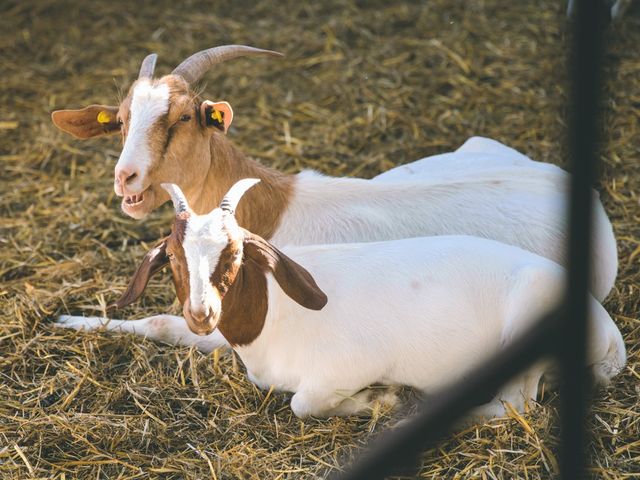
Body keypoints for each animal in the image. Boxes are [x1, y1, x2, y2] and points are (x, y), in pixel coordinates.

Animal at [104, 178, 624, 418]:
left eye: (233, 253)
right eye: (172, 258)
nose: (201, 312)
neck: (276, 319)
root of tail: (611, 338)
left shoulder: (349, 363)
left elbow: (303, 403)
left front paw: (381, 398)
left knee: (515, 404)